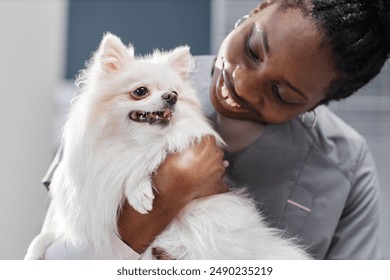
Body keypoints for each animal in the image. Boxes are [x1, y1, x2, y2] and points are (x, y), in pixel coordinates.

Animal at [24, 33, 310, 260]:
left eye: (176, 93)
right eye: (140, 91)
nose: (171, 97)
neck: (130, 142)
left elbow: (148, 158)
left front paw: (139, 189)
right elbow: (46, 235)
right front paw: (33, 253)